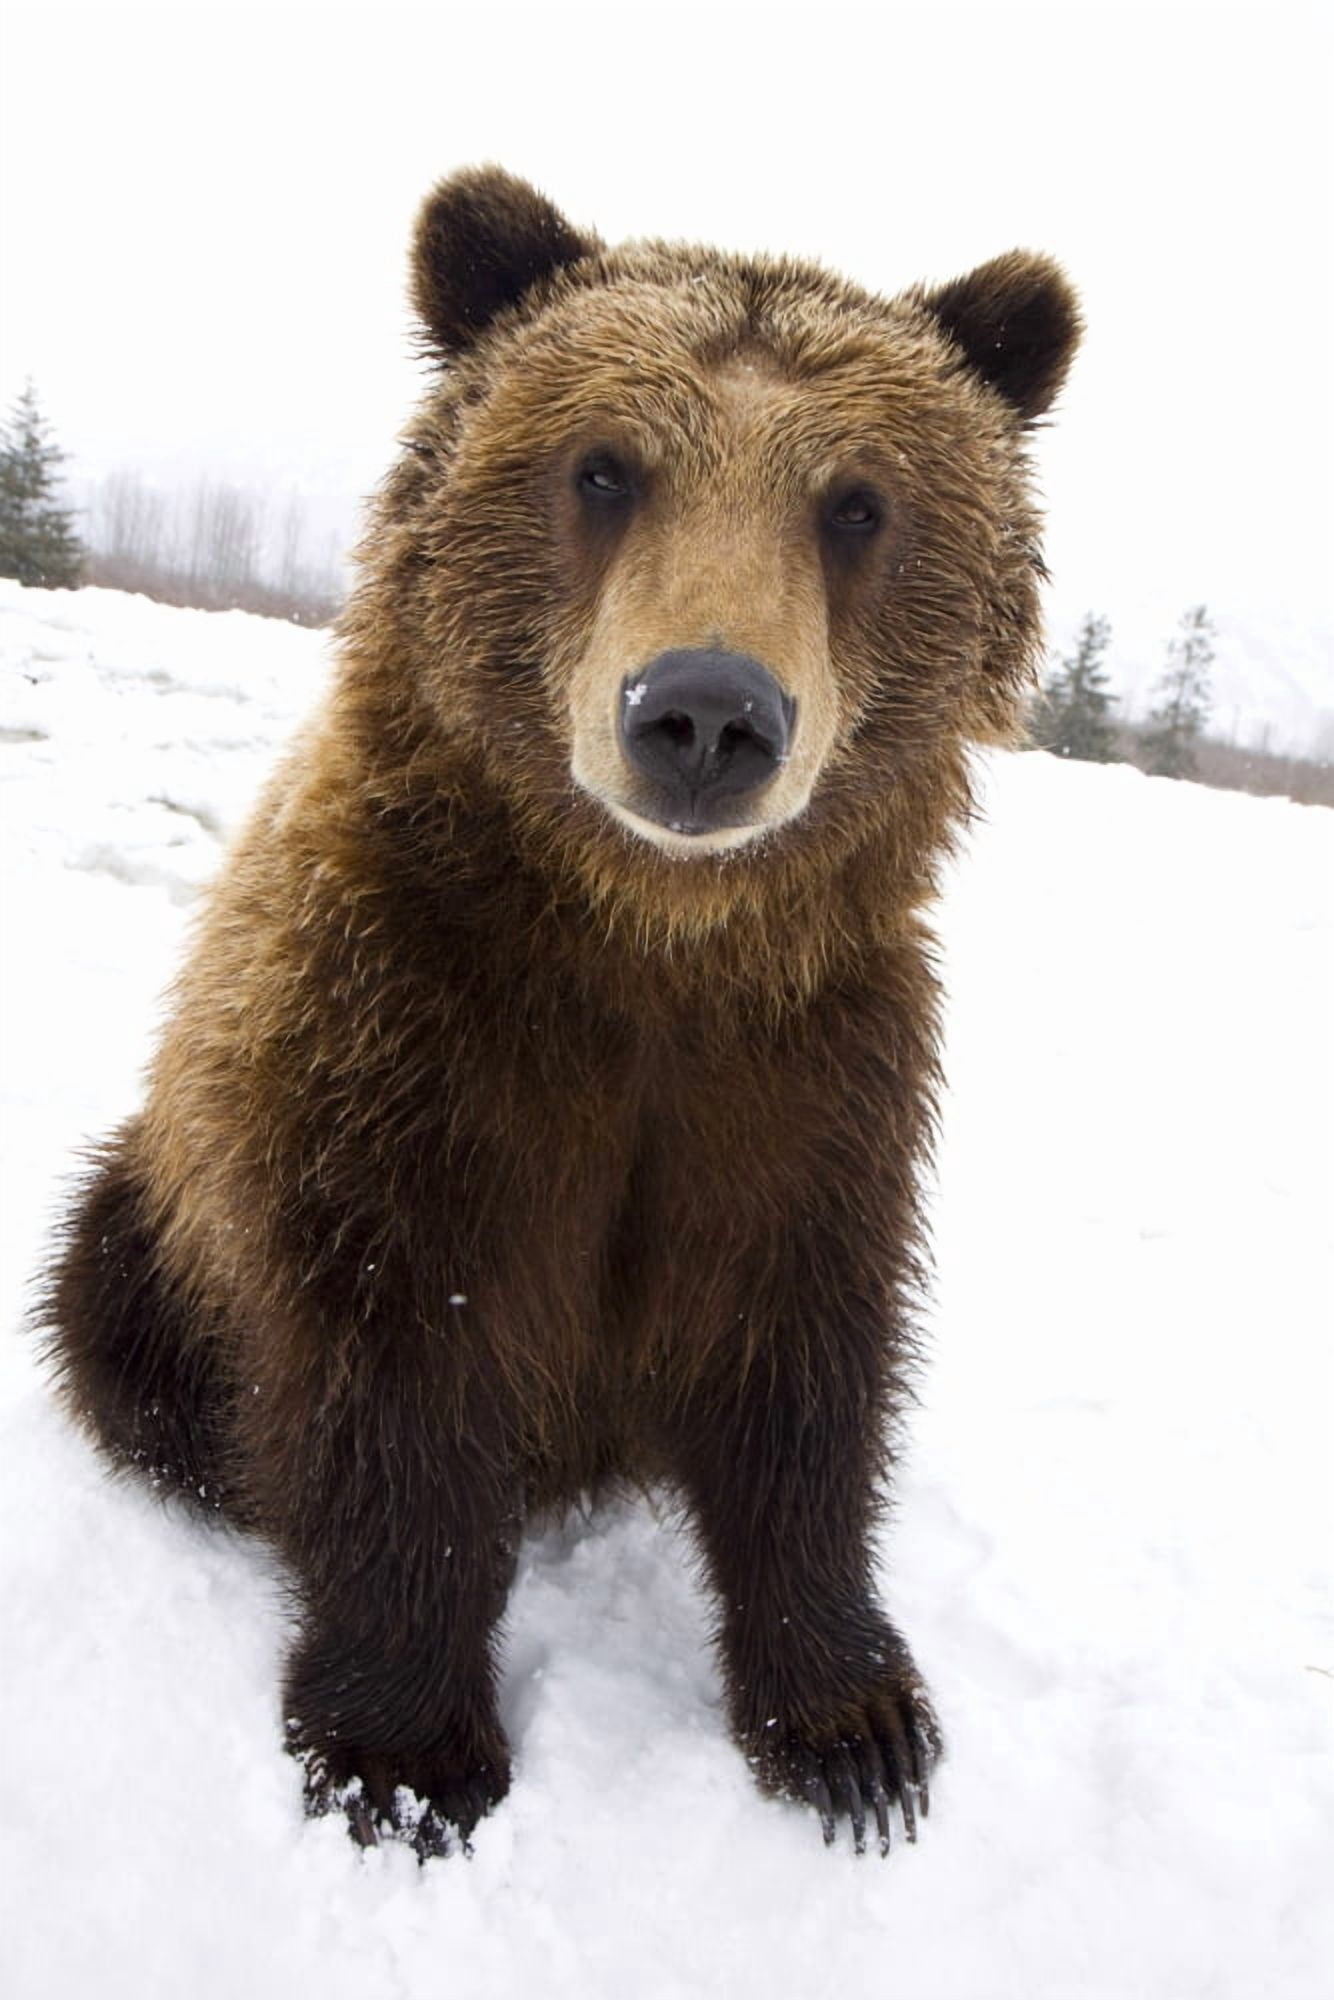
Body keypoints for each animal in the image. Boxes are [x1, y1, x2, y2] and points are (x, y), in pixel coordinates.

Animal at [42, 166, 1079, 1860]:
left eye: (855, 502)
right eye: (604, 467)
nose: (705, 713)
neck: (645, 945)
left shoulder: (805, 1075)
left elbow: (803, 1373)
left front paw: (852, 1727)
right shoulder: (404, 1041)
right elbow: (391, 1376)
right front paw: (405, 1748)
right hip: (152, 1215)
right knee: (116, 1321)